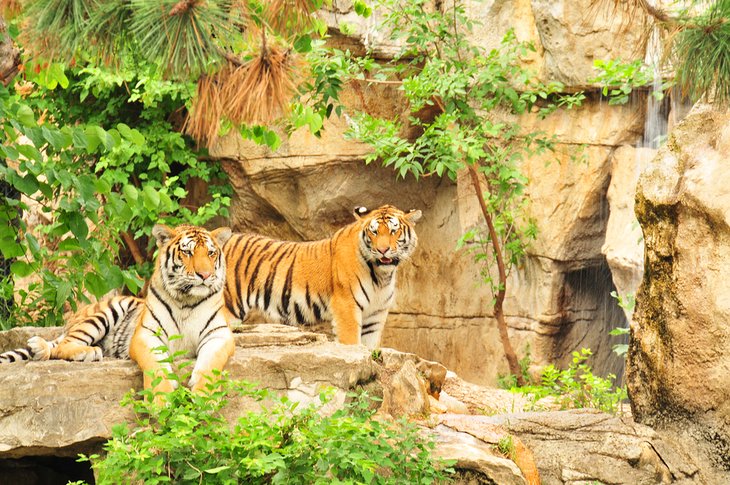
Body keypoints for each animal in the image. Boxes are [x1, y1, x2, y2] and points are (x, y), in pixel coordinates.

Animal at [0, 223, 233, 398]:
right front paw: (160, 400)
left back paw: (41, 348)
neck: (186, 300)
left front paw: (205, 396)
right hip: (104, 313)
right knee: (63, 345)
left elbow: (210, 367)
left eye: (211, 253)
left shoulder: (219, 335)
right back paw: (89, 352)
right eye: (187, 252)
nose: (205, 275)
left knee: (55, 346)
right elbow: (155, 366)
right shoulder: (146, 335)